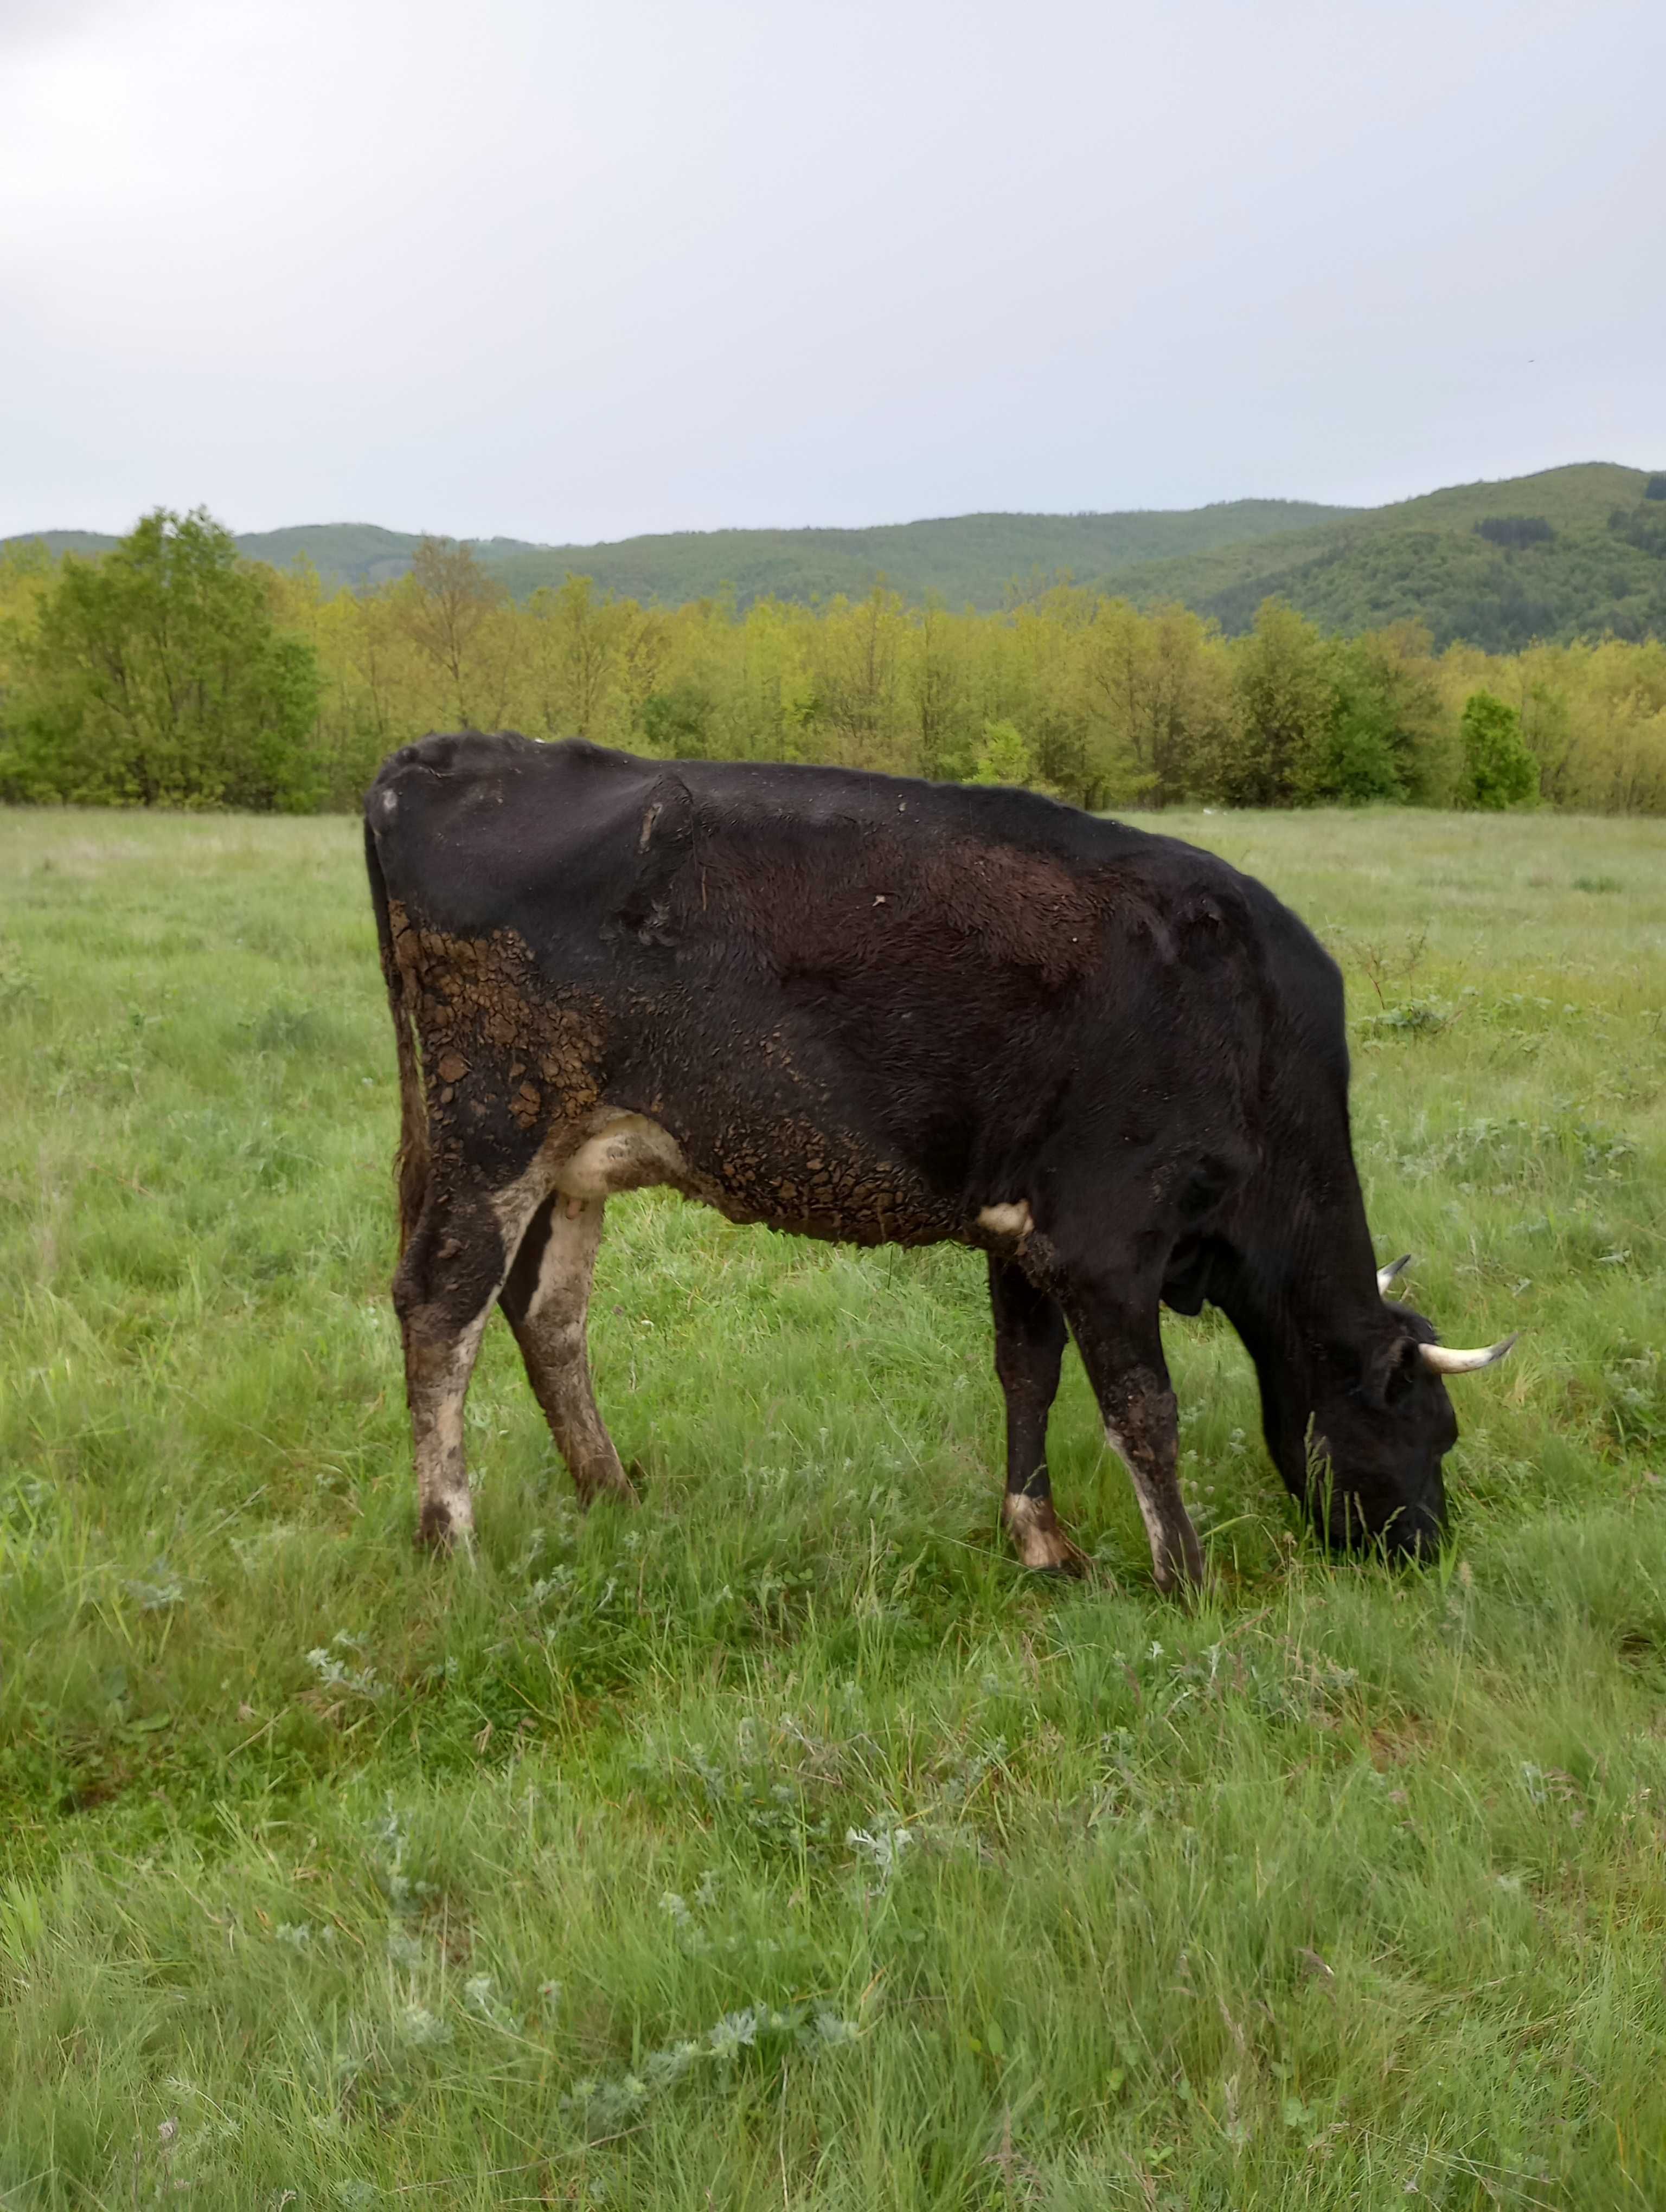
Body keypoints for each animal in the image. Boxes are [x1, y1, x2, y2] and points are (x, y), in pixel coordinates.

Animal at [360, 738, 1504, 1592]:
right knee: (442, 1304)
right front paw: (1185, 1579)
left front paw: (1039, 1541)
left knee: (545, 1312)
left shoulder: (1027, 1229)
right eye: (1429, 1428)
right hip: (491, 1122)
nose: (1427, 1550)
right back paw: (450, 1541)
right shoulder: (1107, 1238)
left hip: (571, 1155)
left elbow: (1027, 1373)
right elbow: (1146, 1412)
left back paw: (611, 1493)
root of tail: (445, 756)